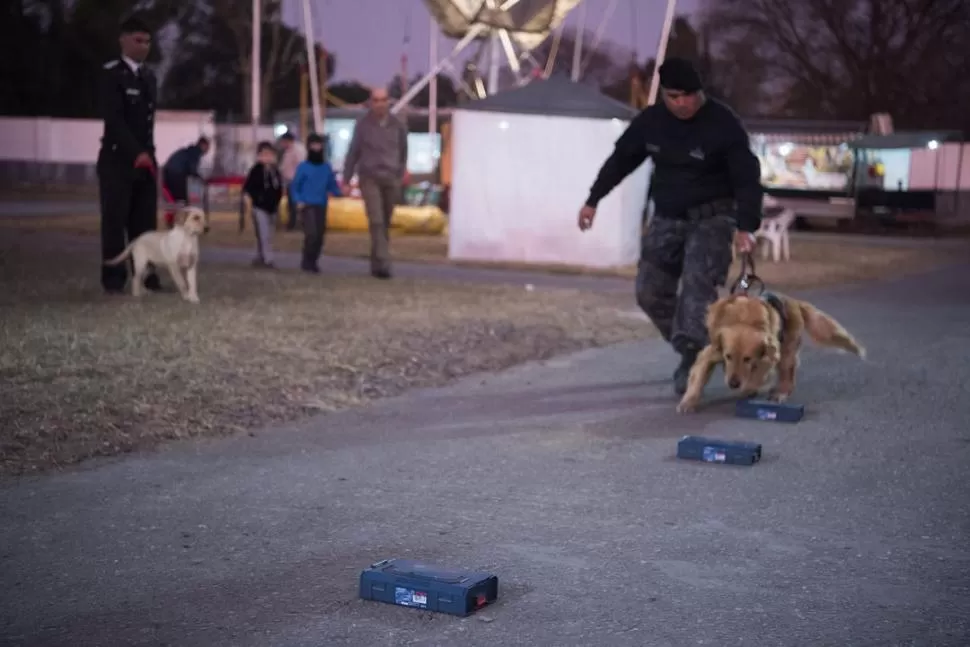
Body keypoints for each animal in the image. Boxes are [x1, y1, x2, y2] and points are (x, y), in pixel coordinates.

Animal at [672, 292, 864, 412]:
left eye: (747, 358)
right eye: (728, 356)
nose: (733, 383)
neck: (743, 319)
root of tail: (794, 302)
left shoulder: (768, 356)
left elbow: (756, 377)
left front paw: (749, 387)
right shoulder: (711, 352)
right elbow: (698, 375)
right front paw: (688, 401)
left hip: (787, 350)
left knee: (788, 374)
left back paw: (780, 392)